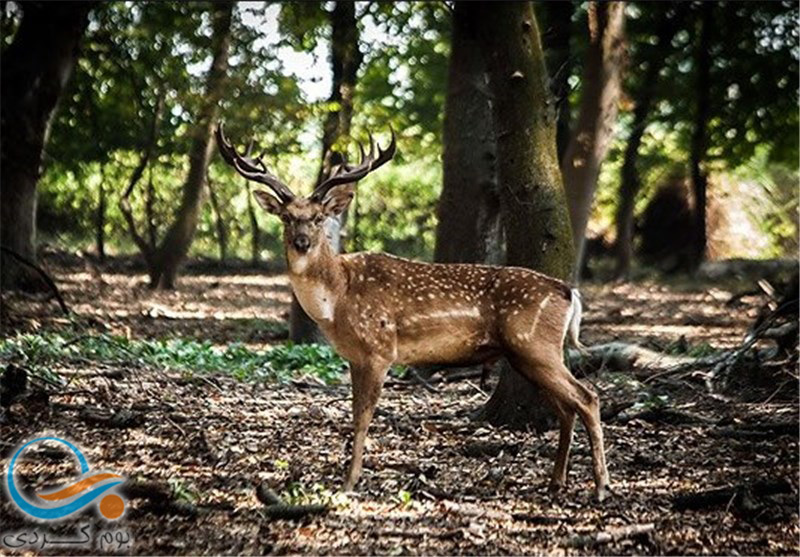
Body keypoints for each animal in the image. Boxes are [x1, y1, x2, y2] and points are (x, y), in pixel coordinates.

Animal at [216, 121, 608, 500]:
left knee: (587, 397)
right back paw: (556, 483)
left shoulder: (380, 349)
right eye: (286, 217)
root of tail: (568, 292)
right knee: (567, 408)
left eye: (317, 218)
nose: (301, 242)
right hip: (526, 354)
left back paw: (601, 487)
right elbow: (353, 412)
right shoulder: (354, 357)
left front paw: (349, 483)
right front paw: (348, 477)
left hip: (534, 345)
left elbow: (363, 417)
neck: (337, 297)